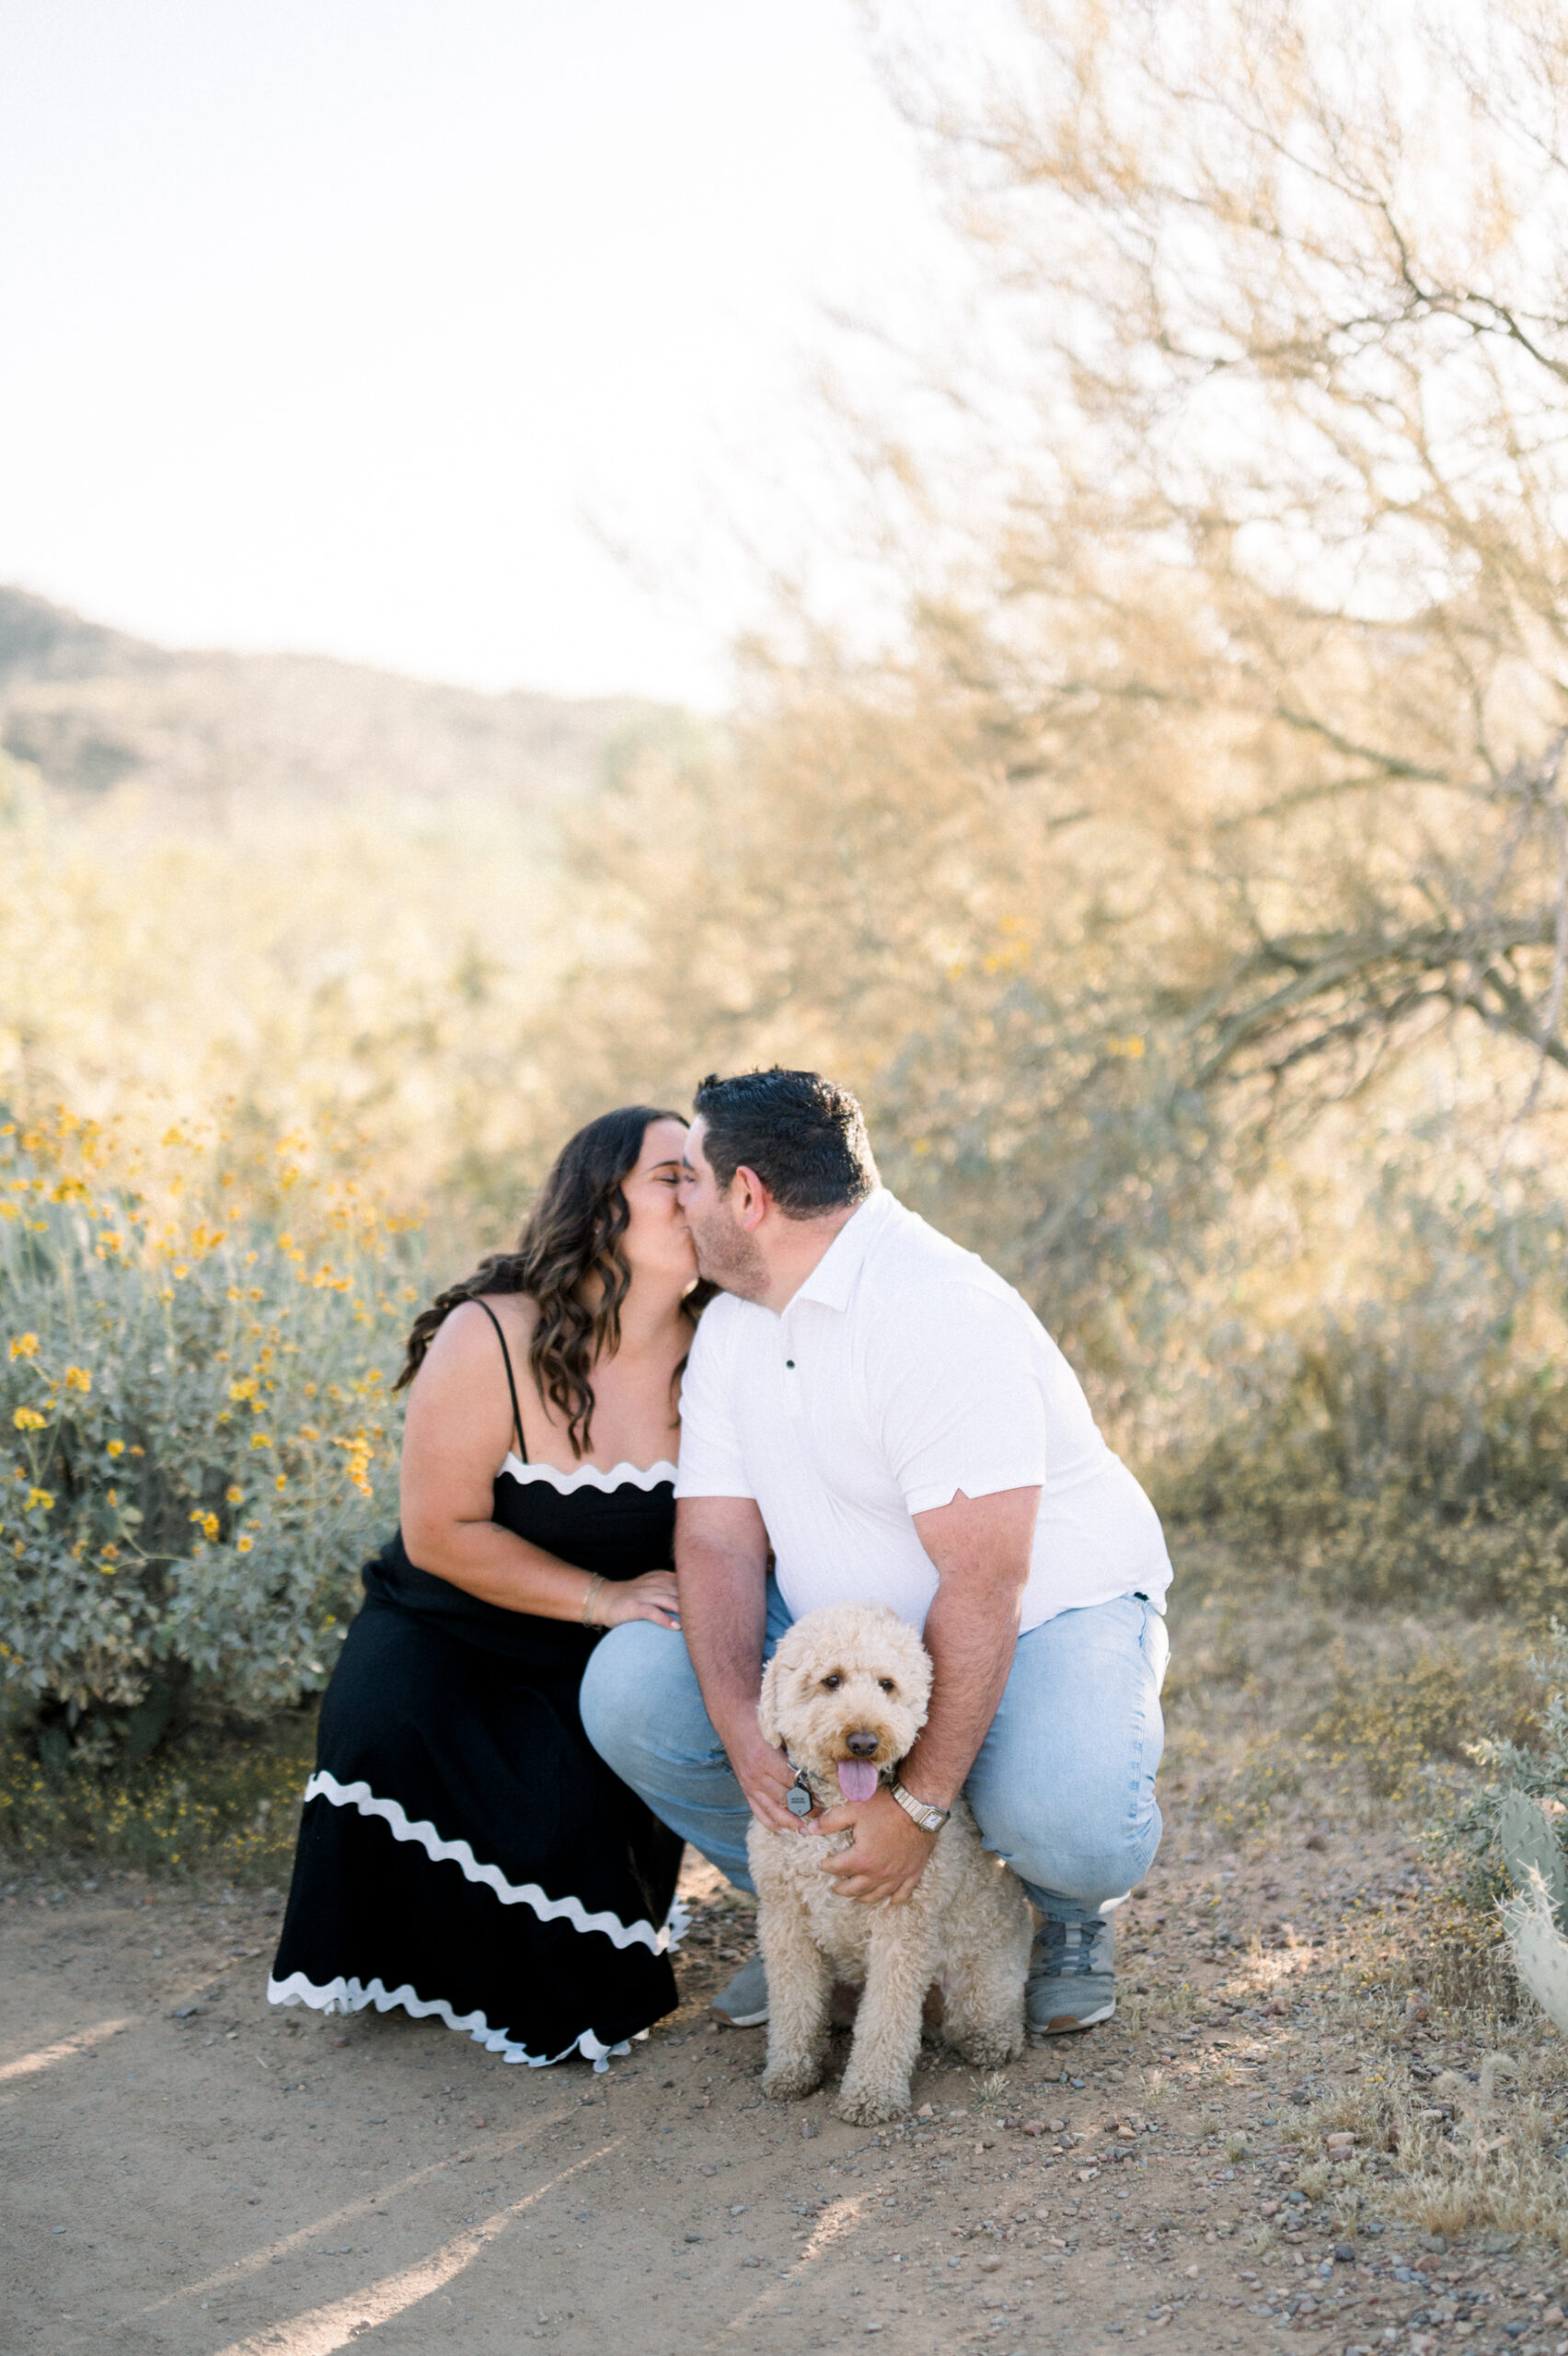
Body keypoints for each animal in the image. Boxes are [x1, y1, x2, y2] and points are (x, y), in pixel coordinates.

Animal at [753, 1601, 1031, 2120]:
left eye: (887, 1684)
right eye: (832, 1680)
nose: (864, 1741)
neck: (841, 1809)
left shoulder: (902, 1930)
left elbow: (885, 2020)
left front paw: (872, 2093)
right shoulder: (785, 1921)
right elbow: (792, 2004)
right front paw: (790, 2071)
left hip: (983, 1974)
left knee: (987, 2013)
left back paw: (992, 2040)